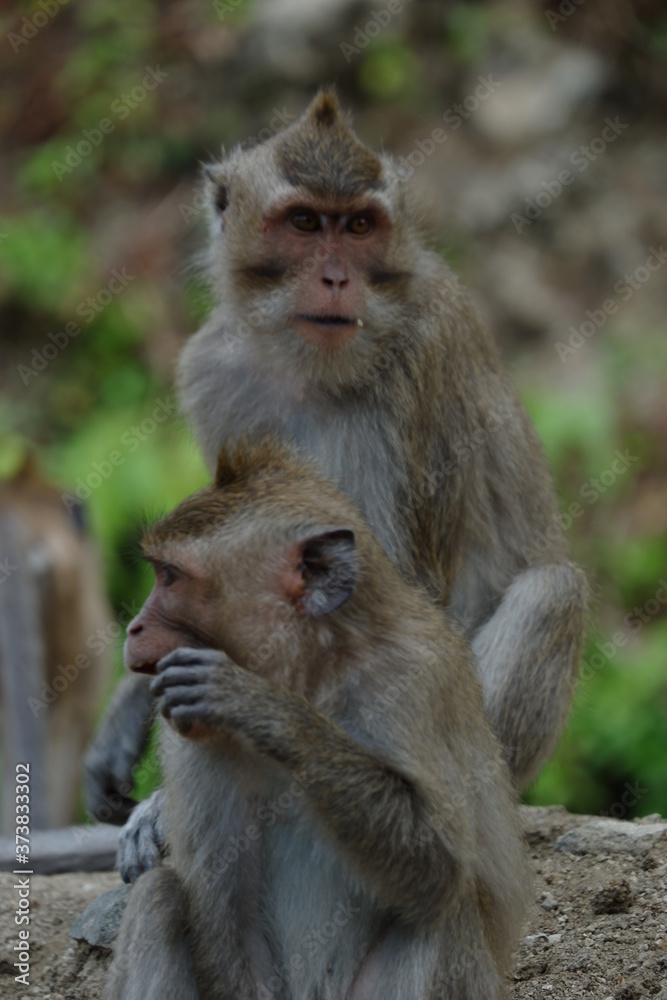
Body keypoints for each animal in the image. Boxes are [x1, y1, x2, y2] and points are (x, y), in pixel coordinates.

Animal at [86, 90, 588, 876]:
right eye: (303, 223)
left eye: (357, 226)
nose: (335, 278)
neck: (305, 363)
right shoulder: (211, 369)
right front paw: (129, 707)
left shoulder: (418, 360)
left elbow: (398, 591)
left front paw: (170, 796)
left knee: (551, 592)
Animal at [105, 442, 532, 1000]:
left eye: (170, 577)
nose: (133, 627)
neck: (315, 676)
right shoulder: (190, 738)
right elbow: (227, 926)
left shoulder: (419, 679)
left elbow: (440, 864)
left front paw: (264, 708)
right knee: (158, 898)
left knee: (443, 909)